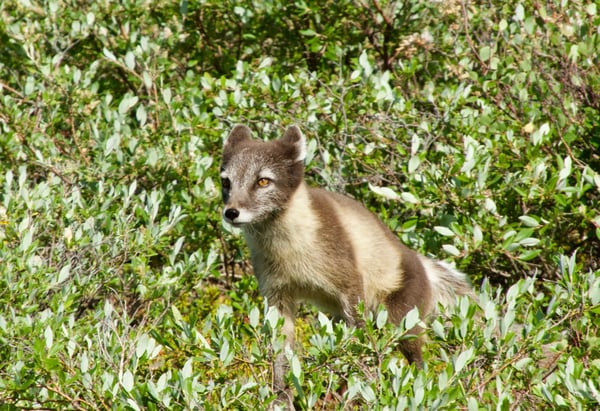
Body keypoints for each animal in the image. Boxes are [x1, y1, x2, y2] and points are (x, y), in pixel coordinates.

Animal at [220, 126, 474, 402]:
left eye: (263, 181)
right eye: (226, 182)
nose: (231, 213)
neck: (289, 252)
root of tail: (421, 262)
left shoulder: (350, 288)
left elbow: (359, 349)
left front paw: (361, 386)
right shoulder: (277, 297)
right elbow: (281, 358)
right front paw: (279, 398)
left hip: (400, 324)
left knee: (415, 363)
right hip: (339, 318)